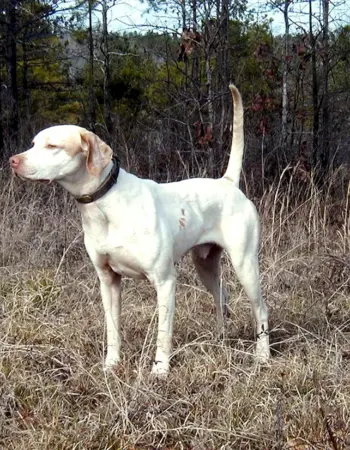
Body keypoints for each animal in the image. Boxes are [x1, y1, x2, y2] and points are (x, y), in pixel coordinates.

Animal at [9, 86, 270, 374]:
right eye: (34, 144)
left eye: (52, 146)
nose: (12, 161)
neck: (106, 204)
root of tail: (228, 182)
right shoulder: (108, 281)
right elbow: (112, 329)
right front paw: (111, 365)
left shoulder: (165, 281)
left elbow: (163, 333)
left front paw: (160, 370)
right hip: (205, 265)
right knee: (221, 298)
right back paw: (219, 339)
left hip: (245, 265)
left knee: (261, 310)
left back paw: (262, 355)